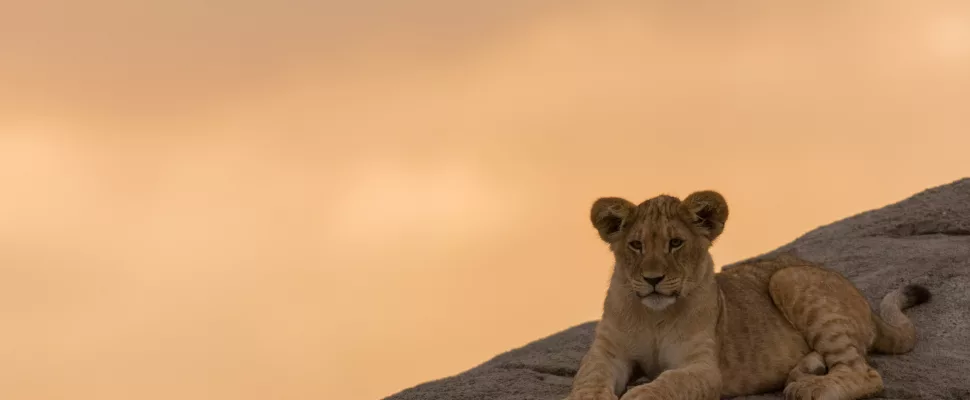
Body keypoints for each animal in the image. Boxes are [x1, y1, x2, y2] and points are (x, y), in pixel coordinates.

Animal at [565, 191, 930, 400]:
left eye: (675, 243)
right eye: (636, 245)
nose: (653, 279)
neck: (654, 314)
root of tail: (868, 306)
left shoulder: (702, 367)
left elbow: (668, 383)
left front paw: (641, 394)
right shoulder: (607, 353)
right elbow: (589, 379)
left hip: (789, 277)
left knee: (865, 373)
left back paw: (811, 387)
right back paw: (808, 368)